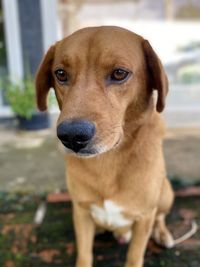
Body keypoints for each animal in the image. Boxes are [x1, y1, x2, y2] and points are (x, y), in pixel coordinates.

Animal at [35, 26, 175, 267]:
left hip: (166, 193)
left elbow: (134, 256)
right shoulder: (81, 212)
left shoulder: (144, 217)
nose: (72, 136)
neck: (108, 160)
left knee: (160, 216)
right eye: (60, 74)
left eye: (119, 73)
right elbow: (84, 254)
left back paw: (163, 233)